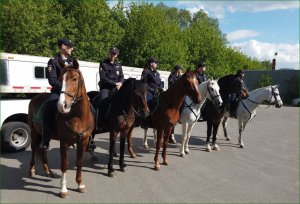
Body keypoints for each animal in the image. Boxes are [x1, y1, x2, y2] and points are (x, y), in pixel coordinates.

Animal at [28, 59, 94, 199]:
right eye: (59, 79)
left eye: (75, 79)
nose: (62, 105)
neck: (78, 117)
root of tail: (35, 98)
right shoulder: (64, 143)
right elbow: (64, 165)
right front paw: (63, 189)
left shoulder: (83, 141)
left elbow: (79, 162)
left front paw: (80, 185)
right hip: (34, 132)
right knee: (34, 149)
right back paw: (31, 169)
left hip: (44, 135)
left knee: (43, 150)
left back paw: (48, 171)